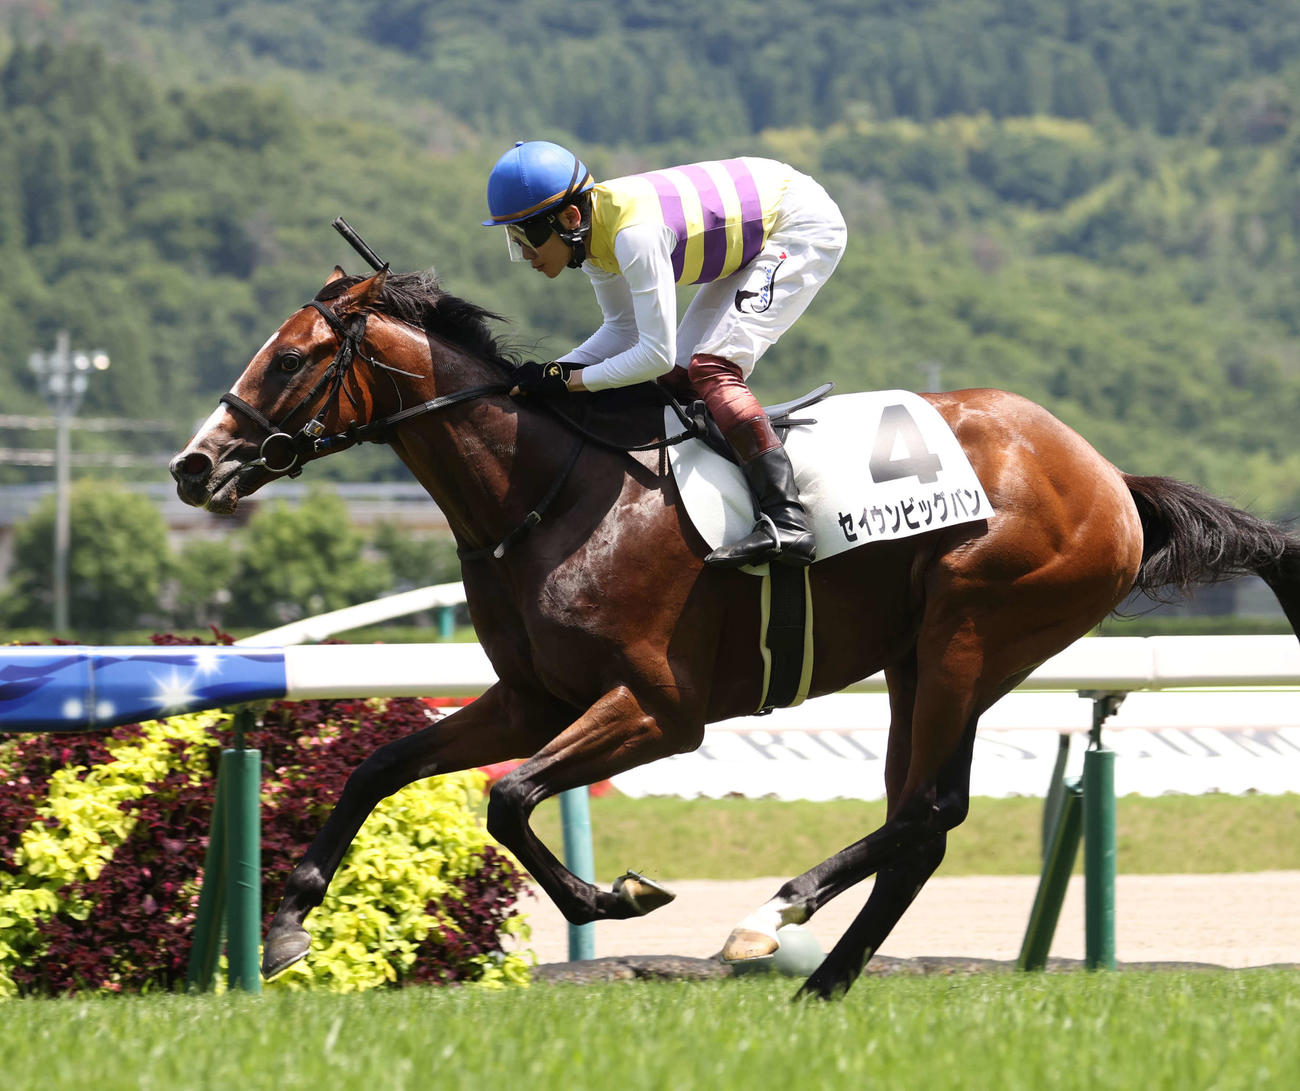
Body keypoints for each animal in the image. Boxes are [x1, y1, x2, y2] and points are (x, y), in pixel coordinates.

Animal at [170, 265, 1300, 1000]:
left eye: (293, 358)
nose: (193, 465)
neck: (547, 495)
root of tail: (1110, 477)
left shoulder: (661, 709)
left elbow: (511, 796)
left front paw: (615, 896)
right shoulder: (531, 696)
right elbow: (387, 766)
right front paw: (285, 922)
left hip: (972, 631)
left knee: (927, 809)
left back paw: (772, 918)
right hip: (921, 657)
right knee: (926, 822)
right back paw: (823, 980)